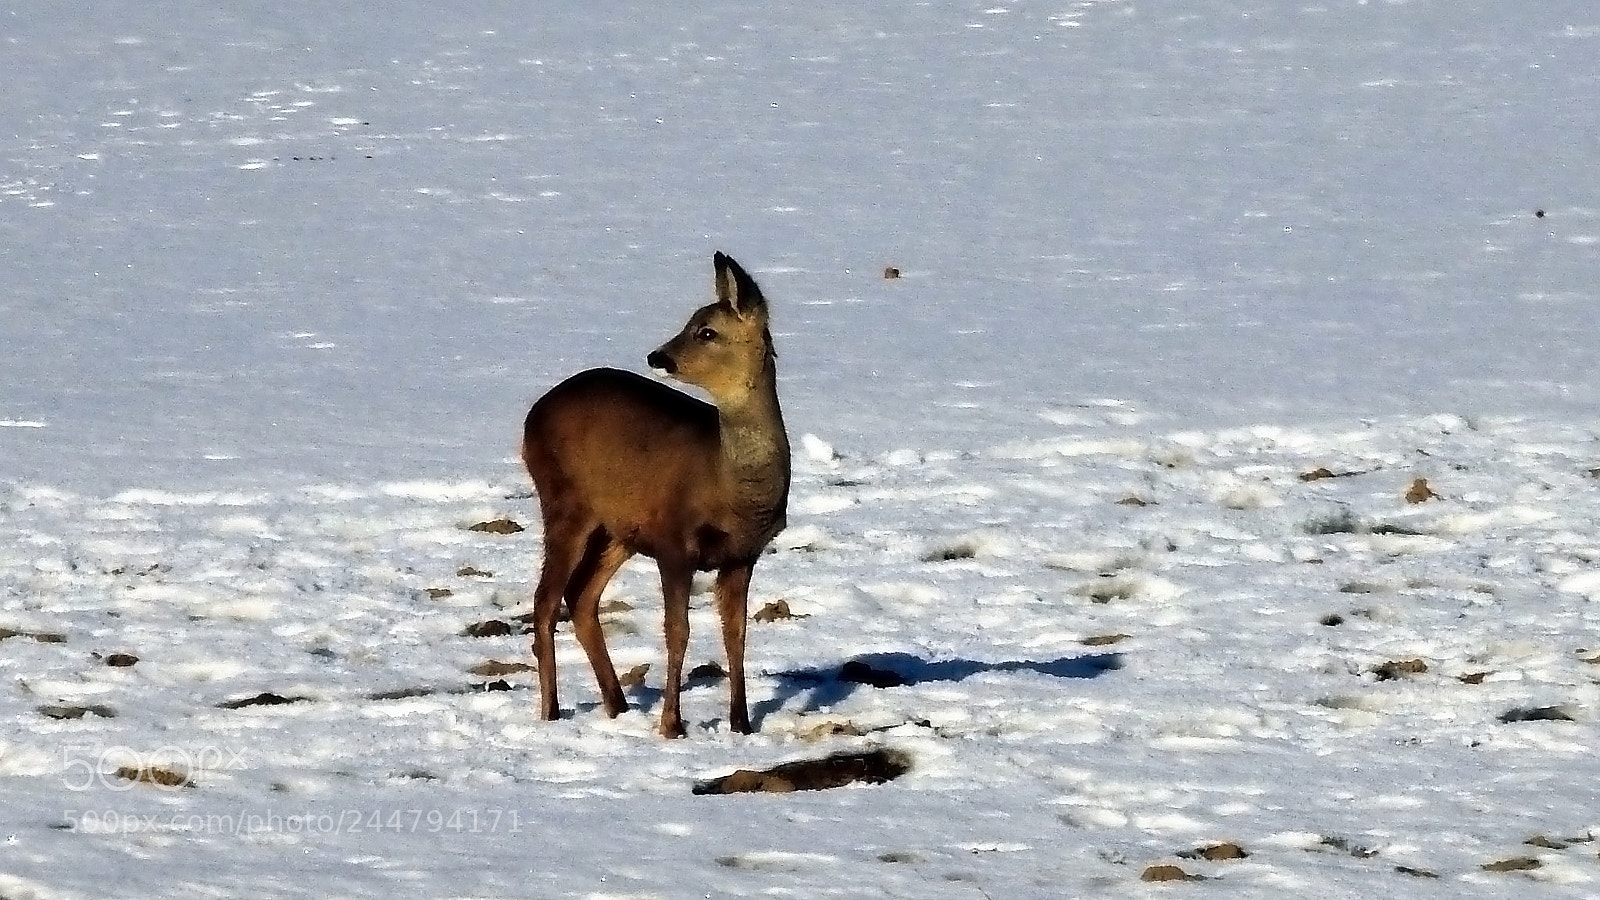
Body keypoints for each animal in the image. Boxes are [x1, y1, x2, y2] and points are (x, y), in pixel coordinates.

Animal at [521, 252, 791, 738]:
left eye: (707, 331)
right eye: (691, 322)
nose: (657, 356)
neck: (729, 484)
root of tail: (533, 414)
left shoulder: (743, 555)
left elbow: (736, 634)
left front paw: (741, 724)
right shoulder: (674, 541)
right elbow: (677, 631)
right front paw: (671, 726)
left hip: (618, 529)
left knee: (581, 597)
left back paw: (618, 705)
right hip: (564, 500)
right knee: (545, 601)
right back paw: (551, 712)